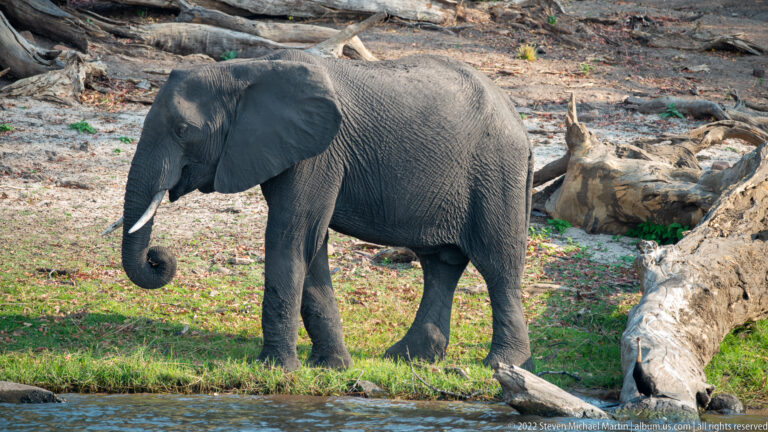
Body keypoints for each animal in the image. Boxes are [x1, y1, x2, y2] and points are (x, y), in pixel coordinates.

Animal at [118, 49, 534, 372]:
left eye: (183, 130)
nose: (158, 257)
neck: (247, 70)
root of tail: (519, 122)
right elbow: (310, 245)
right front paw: (331, 367)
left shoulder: (318, 155)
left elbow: (290, 237)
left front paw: (275, 370)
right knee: (441, 265)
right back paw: (407, 358)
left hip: (496, 174)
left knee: (497, 265)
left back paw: (501, 365)